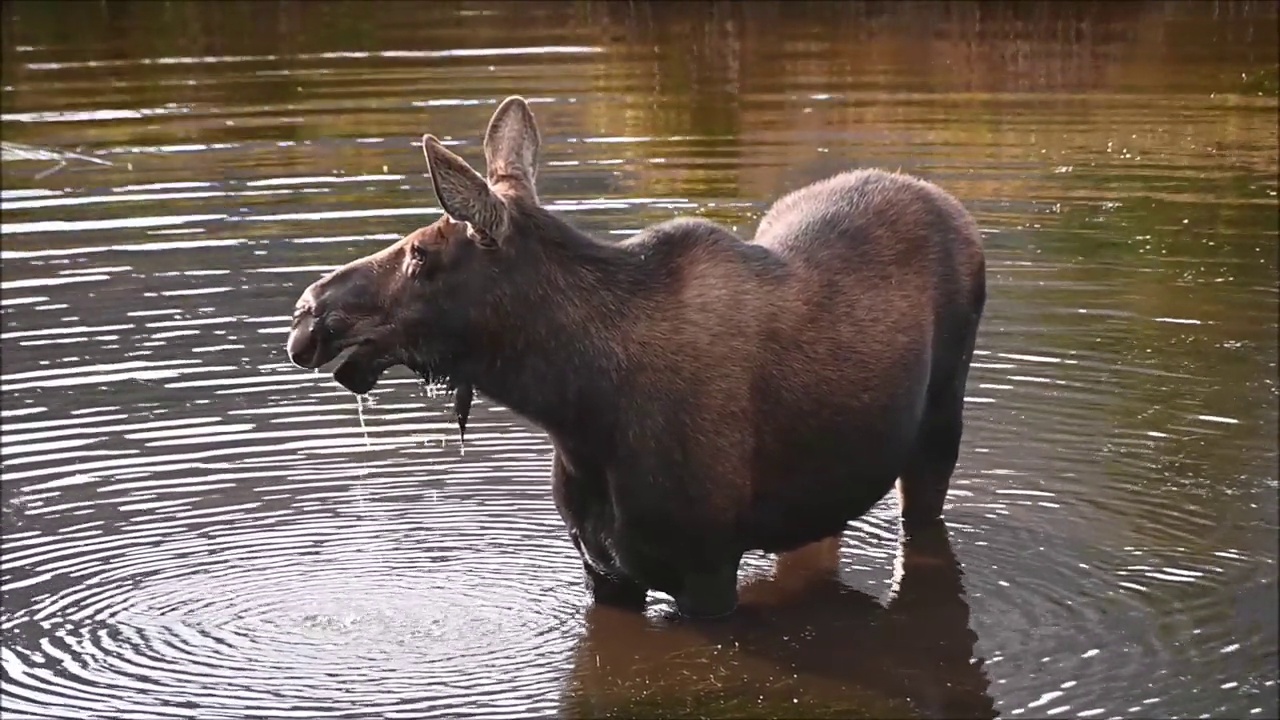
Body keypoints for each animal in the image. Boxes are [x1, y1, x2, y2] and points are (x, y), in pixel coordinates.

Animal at [288, 95, 988, 617]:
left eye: (420, 256)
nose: (307, 313)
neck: (579, 407)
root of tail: (946, 201)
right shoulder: (602, 570)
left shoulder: (707, 569)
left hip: (939, 430)